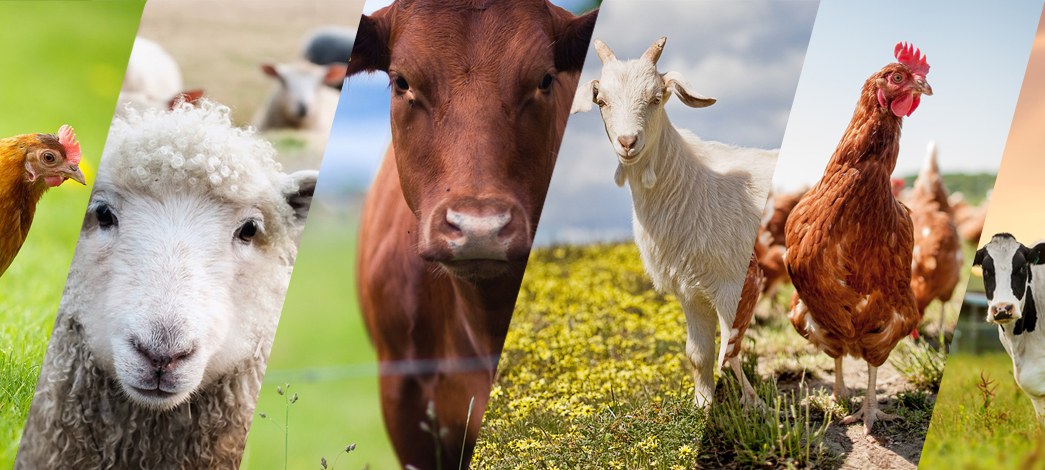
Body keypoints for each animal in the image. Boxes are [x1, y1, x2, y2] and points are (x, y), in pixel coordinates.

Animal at [572, 37, 777, 408]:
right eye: (601, 101)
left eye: (656, 98)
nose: (627, 142)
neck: (692, 182)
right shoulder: (690, 290)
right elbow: (698, 353)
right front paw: (703, 405)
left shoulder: (731, 283)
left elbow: (732, 349)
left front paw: (756, 406)